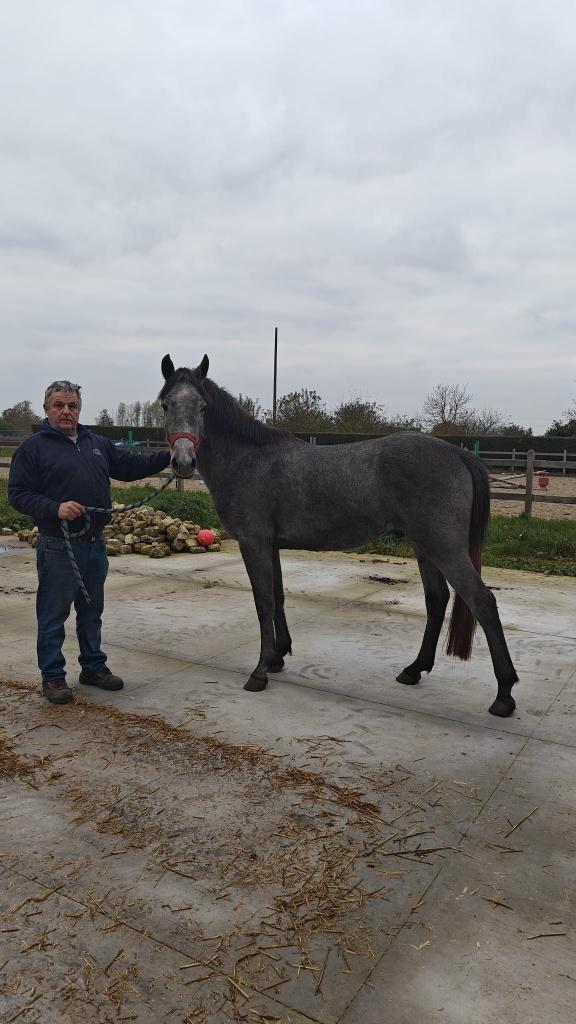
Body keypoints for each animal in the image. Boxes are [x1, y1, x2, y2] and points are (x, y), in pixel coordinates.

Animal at [159, 354, 519, 717]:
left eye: (203, 407)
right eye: (165, 404)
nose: (183, 461)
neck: (249, 459)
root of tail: (458, 453)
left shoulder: (253, 543)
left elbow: (263, 601)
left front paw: (260, 671)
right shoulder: (271, 545)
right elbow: (278, 596)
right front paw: (278, 657)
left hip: (444, 546)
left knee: (482, 602)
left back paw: (504, 694)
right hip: (424, 545)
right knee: (437, 599)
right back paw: (414, 669)